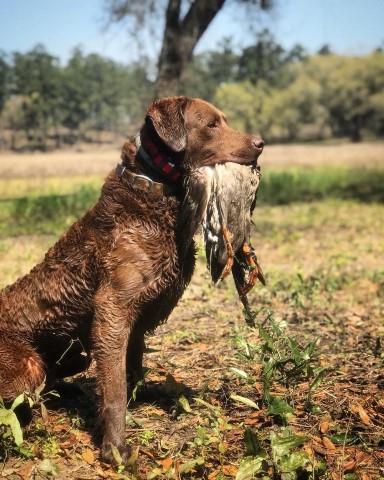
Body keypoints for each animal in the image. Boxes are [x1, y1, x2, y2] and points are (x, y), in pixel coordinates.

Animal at [0, 94, 264, 464]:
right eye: (212, 125)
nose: (260, 143)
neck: (154, 192)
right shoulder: (111, 311)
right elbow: (114, 389)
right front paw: (115, 447)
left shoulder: (137, 317)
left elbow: (135, 367)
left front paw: (145, 398)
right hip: (26, 363)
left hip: (73, 355)